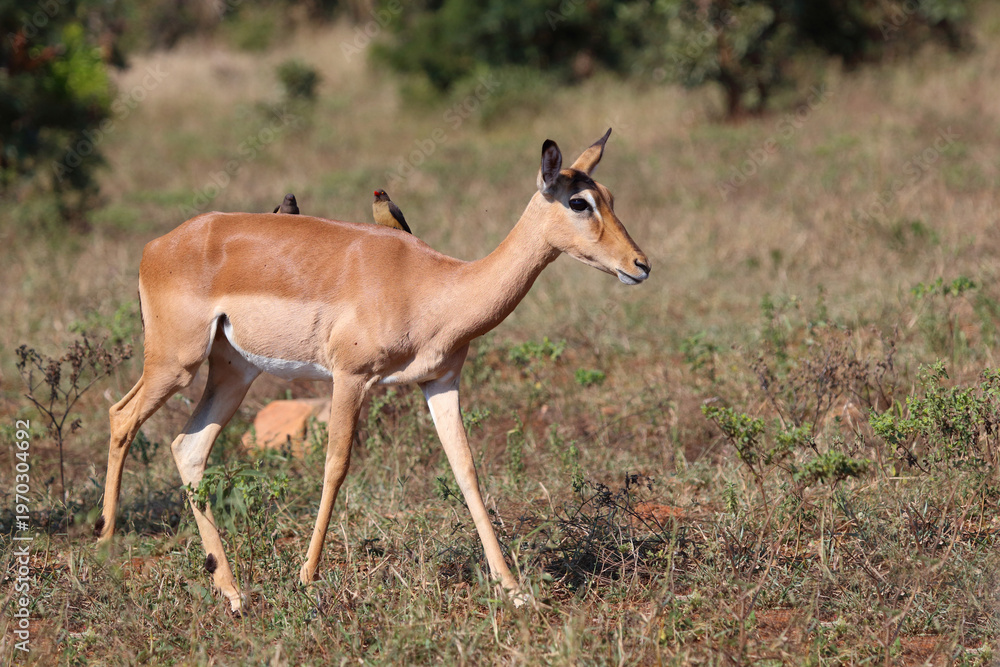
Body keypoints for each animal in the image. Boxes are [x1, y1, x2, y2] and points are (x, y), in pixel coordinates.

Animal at [96, 129, 650, 614]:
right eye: (578, 202)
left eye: (610, 195)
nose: (640, 264)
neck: (435, 285)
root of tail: (156, 247)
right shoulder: (351, 377)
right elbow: (336, 465)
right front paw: (307, 578)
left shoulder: (439, 382)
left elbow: (466, 469)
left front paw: (514, 592)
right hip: (175, 362)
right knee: (121, 416)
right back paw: (105, 547)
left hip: (234, 373)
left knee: (187, 447)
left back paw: (232, 592)